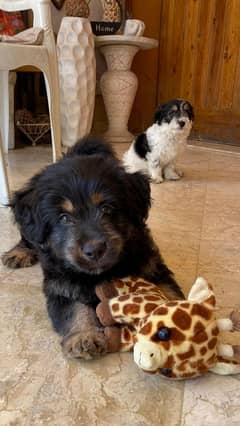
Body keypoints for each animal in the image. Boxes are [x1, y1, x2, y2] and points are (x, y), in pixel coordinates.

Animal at [1, 136, 183, 360]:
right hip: (29, 228)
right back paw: (18, 253)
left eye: (106, 208)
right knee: (28, 236)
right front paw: (84, 337)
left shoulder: (153, 266)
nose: (94, 250)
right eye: (64, 218)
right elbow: (75, 310)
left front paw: (179, 316)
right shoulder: (60, 285)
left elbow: (170, 291)